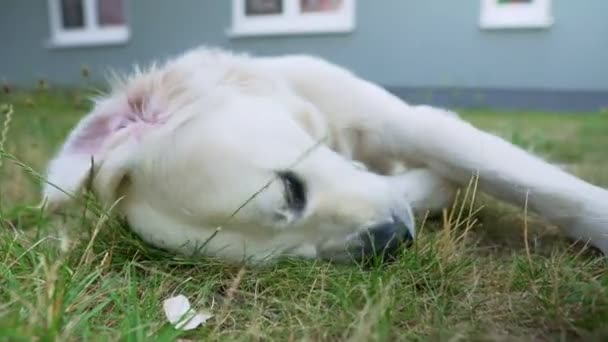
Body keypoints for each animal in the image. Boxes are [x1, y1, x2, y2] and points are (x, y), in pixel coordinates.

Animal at [41, 46, 608, 264]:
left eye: (291, 188)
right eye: (289, 256)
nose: (392, 242)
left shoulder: (410, 122)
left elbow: (533, 182)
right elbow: (424, 184)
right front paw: (435, 189)